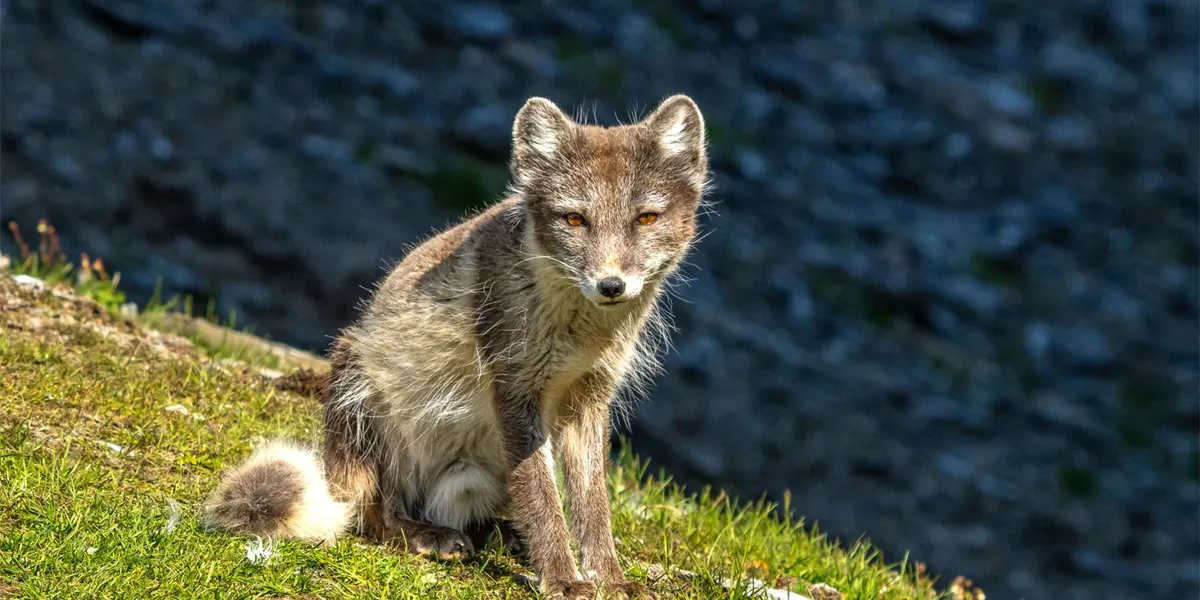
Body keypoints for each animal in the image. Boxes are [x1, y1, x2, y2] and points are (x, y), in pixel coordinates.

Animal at [201, 94, 709, 600]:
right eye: (574, 219)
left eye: (646, 218)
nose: (611, 285)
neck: (582, 333)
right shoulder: (515, 390)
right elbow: (543, 497)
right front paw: (564, 580)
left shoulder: (589, 397)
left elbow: (591, 502)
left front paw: (609, 577)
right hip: (362, 390)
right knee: (377, 516)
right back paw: (429, 535)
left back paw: (497, 535)